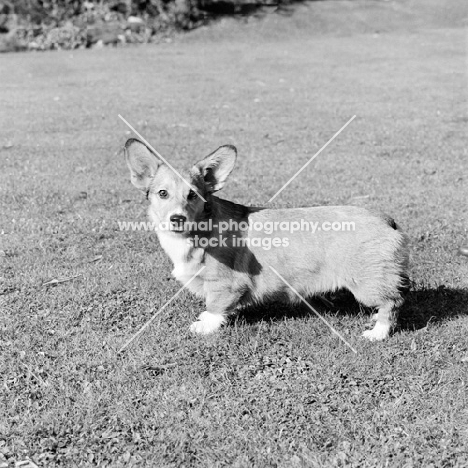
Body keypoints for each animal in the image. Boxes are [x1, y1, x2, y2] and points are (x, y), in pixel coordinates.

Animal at [124, 139, 410, 340]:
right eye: (162, 193)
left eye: (193, 195)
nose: (177, 218)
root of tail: (386, 219)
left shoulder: (225, 285)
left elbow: (215, 307)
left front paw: (205, 326)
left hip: (367, 284)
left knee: (392, 303)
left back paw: (377, 333)